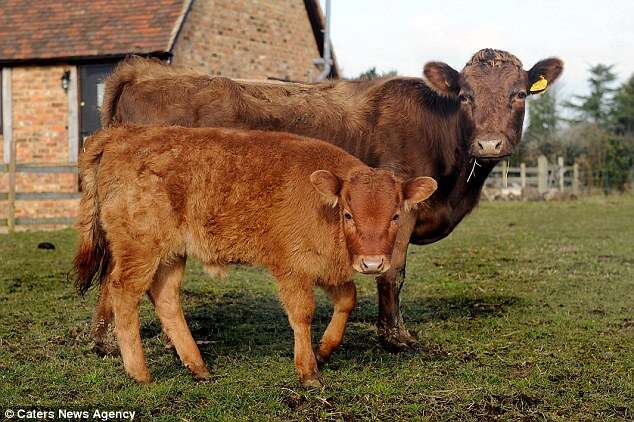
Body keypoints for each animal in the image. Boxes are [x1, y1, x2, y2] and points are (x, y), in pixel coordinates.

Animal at [73, 125, 434, 386]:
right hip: (140, 249)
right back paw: (140, 373)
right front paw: (308, 372)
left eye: (395, 216)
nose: (372, 263)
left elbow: (347, 297)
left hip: (171, 254)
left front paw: (324, 350)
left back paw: (198, 367)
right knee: (123, 292)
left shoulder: (323, 267)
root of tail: (121, 133)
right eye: (348, 213)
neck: (323, 205)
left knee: (165, 298)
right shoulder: (291, 268)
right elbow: (302, 314)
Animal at [96, 47, 560, 352]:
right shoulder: (402, 209)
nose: (489, 143)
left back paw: (109, 340)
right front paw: (397, 337)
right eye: (466, 95)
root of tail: (143, 70)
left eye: (520, 94)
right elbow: (394, 273)